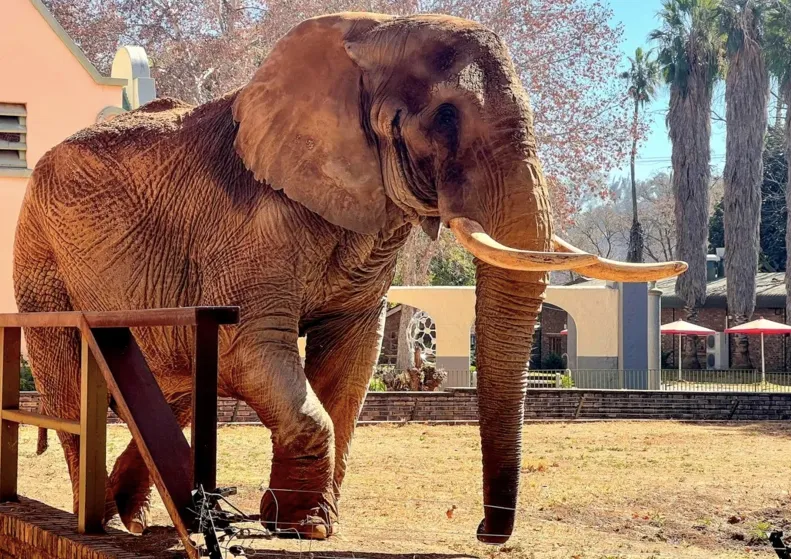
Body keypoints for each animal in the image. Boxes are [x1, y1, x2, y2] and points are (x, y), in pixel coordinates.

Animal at [13, 12, 686, 544]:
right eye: (446, 116)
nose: (481, 530)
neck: (369, 33)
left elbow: (351, 356)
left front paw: (304, 525)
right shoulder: (250, 227)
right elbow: (248, 347)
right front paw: (302, 526)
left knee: (165, 387)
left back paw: (134, 520)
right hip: (39, 256)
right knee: (74, 385)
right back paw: (96, 520)